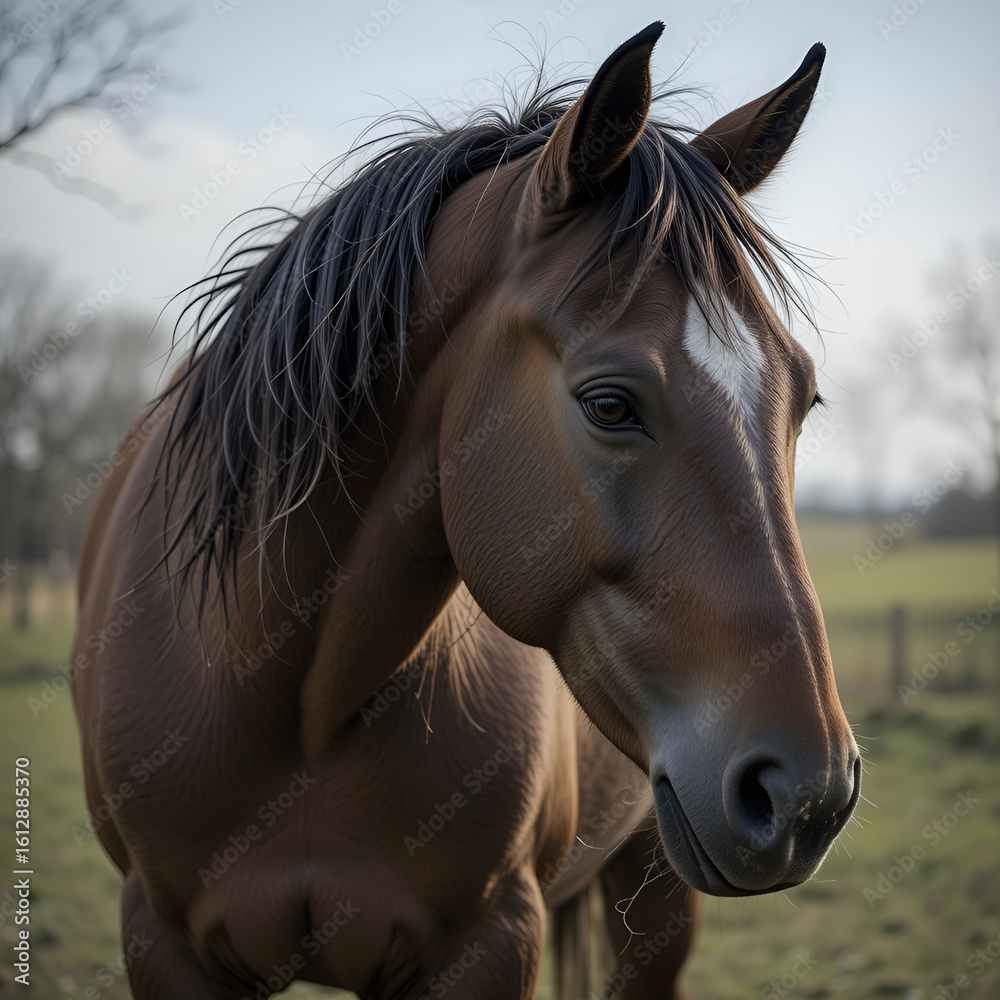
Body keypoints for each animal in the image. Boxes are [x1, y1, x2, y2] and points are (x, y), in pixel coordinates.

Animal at [71, 22, 860, 999]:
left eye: (804, 400)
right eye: (610, 404)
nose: (809, 794)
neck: (298, 704)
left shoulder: (489, 943)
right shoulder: (163, 942)